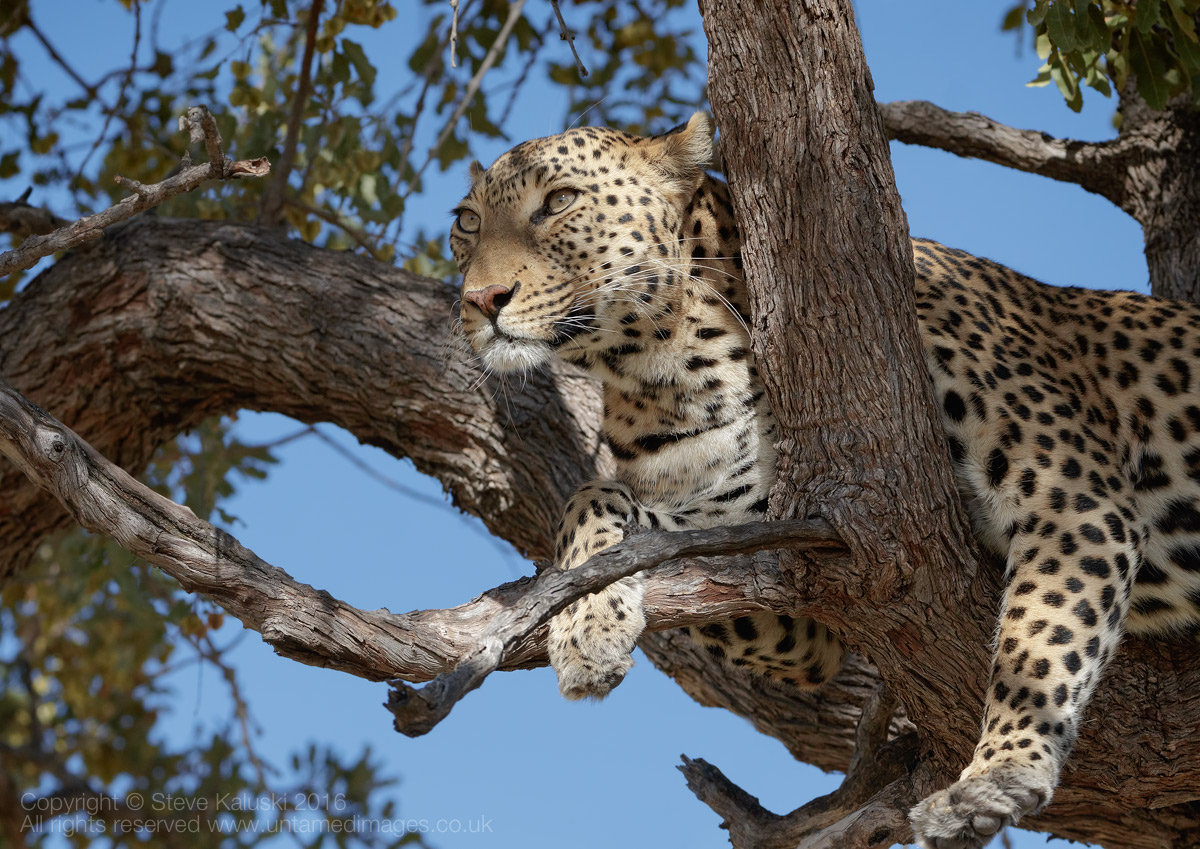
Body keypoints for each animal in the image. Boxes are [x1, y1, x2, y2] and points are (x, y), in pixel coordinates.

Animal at [449, 112, 1200, 849]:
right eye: (467, 222)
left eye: (559, 202)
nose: (481, 299)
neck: (671, 370)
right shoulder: (797, 578)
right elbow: (596, 501)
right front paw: (586, 628)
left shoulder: (1069, 496)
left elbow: (1039, 639)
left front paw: (999, 773)